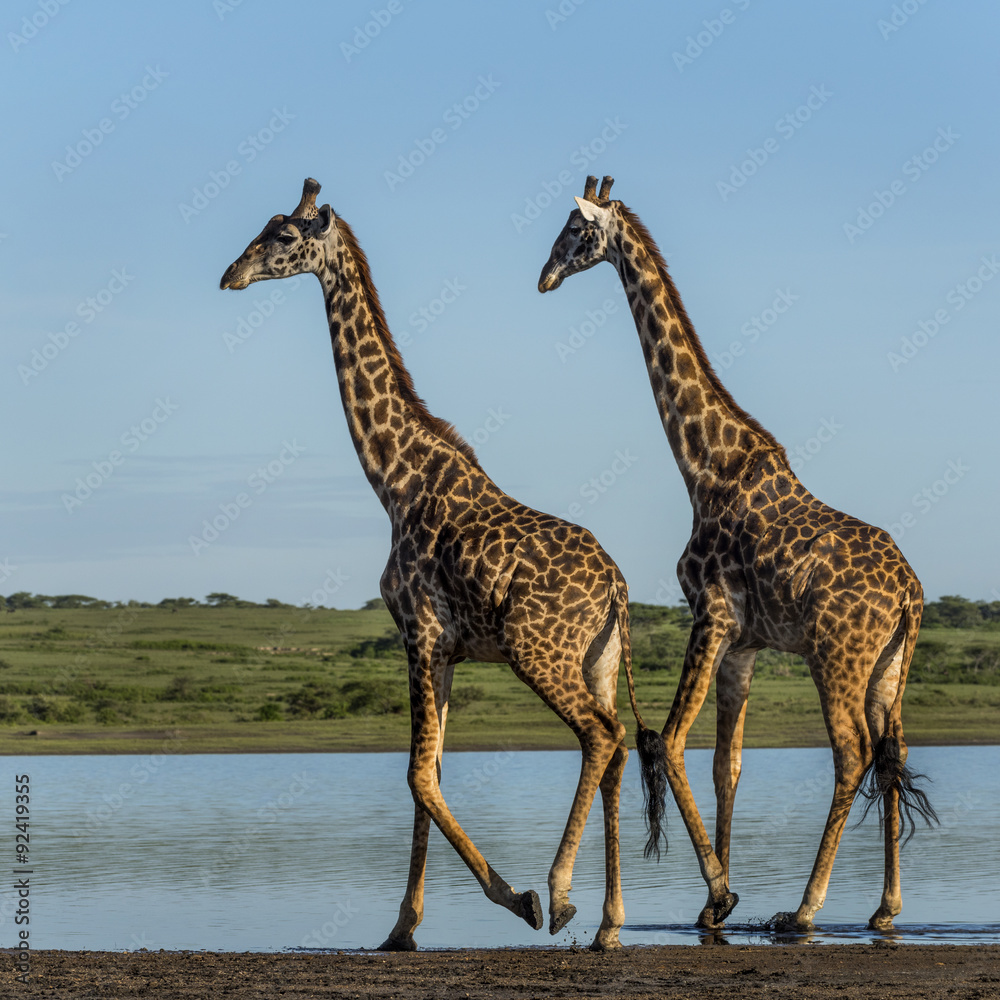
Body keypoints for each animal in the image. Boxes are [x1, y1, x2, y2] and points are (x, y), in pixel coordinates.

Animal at [220, 178, 664, 951]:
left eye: (284, 237)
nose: (230, 274)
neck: (394, 479)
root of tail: (617, 586)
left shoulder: (419, 633)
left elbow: (418, 777)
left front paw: (516, 898)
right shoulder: (446, 649)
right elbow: (428, 770)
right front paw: (401, 928)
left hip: (537, 648)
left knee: (599, 735)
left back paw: (560, 893)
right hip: (601, 659)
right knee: (611, 753)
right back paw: (609, 923)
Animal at [538, 175, 937, 933]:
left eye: (575, 230)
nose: (543, 276)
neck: (705, 466)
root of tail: (910, 592)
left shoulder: (711, 615)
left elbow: (669, 739)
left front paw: (723, 894)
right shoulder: (745, 642)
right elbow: (729, 762)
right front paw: (708, 904)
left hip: (836, 655)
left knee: (851, 755)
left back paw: (805, 909)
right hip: (889, 666)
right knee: (892, 751)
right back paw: (885, 908)